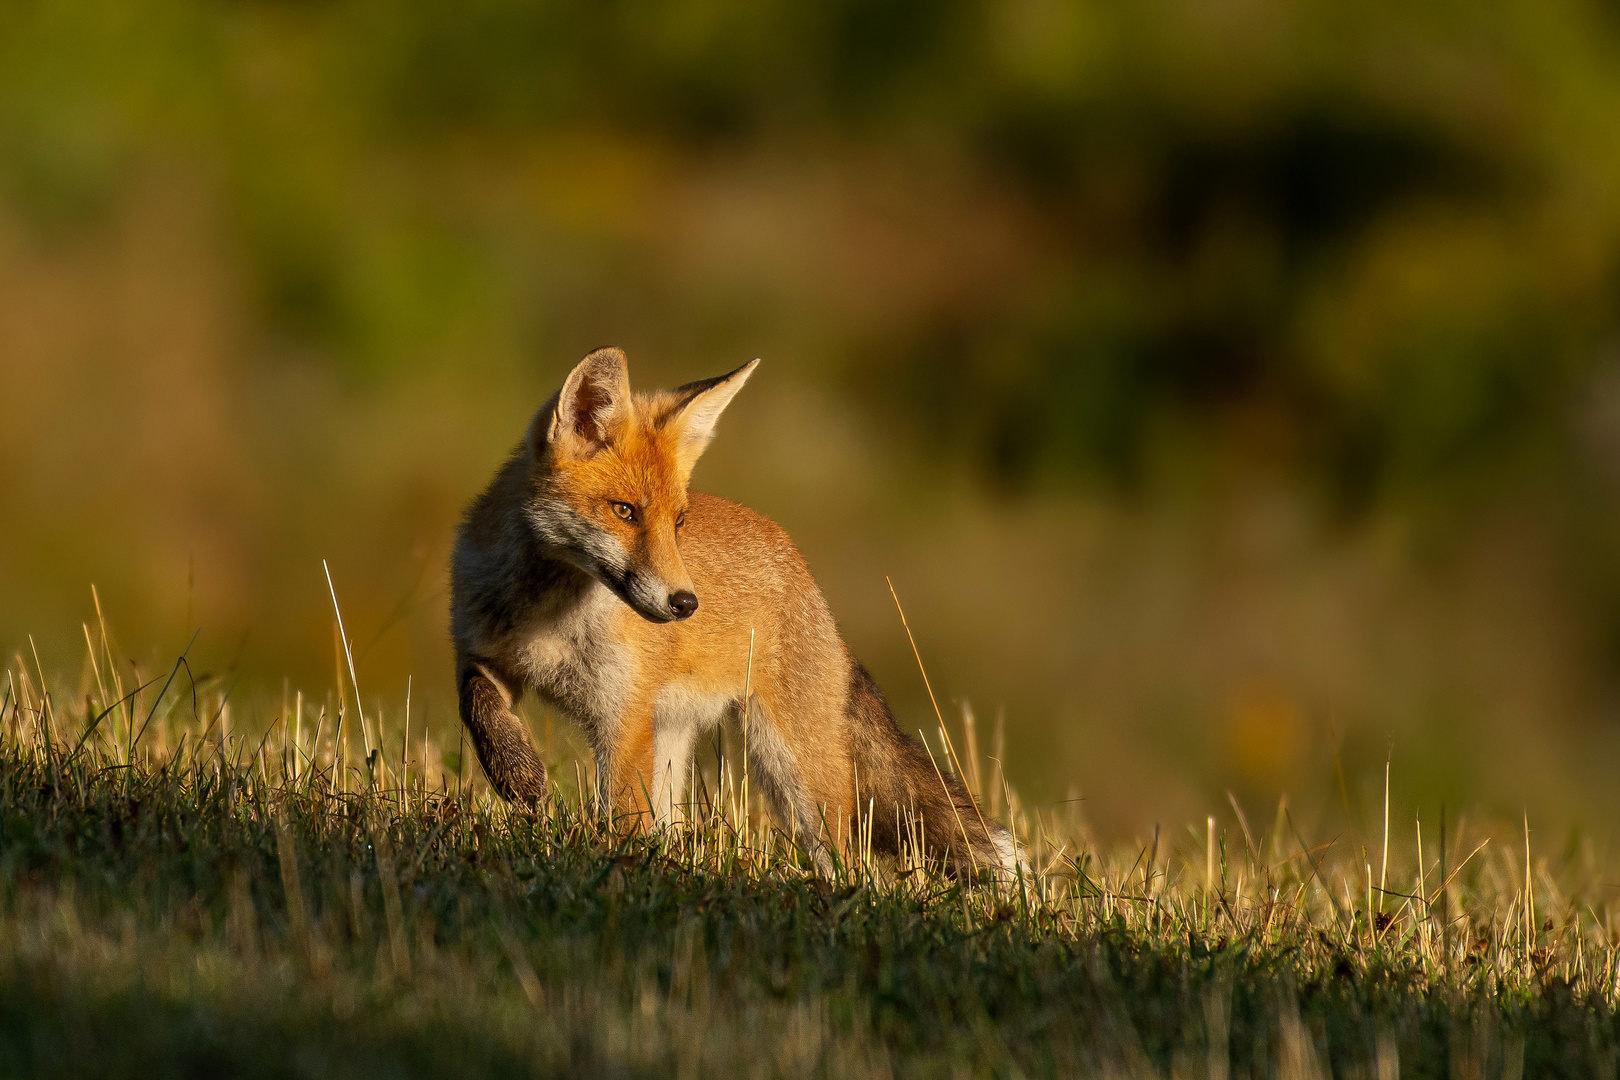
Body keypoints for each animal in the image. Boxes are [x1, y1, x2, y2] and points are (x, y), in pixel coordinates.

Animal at [450, 351, 1010, 874]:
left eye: (678, 521)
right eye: (624, 511)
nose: (685, 604)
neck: (549, 620)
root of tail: (800, 567)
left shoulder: (623, 715)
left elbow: (623, 818)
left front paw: (614, 870)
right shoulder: (481, 653)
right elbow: (478, 705)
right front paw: (516, 774)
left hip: (795, 770)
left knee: (845, 855)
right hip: (674, 739)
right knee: (669, 824)